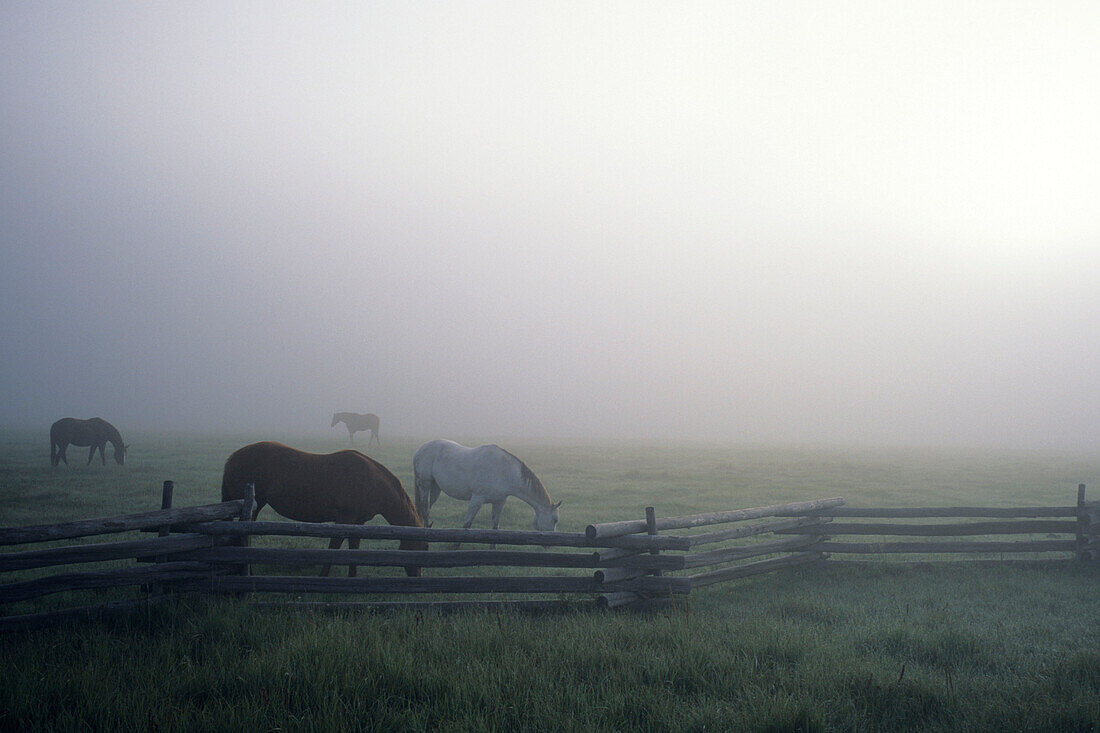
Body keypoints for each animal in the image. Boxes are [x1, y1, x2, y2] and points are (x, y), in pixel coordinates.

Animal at [221, 440, 426, 576]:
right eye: (420, 548)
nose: (416, 576)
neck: (371, 481)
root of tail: (233, 457)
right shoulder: (345, 518)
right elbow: (334, 546)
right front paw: (323, 576)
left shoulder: (358, 522)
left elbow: (354, 547)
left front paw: (352, 577)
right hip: (254, 506)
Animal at [413, 435, 563, 528]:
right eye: (555, 520)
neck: (505, 472)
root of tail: (420, 450)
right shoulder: (477, 499)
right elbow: (466, 525)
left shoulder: (499, 502)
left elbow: (495, 527)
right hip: (425, 485)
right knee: (425, 509)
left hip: (436, 488)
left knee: (428, 508)